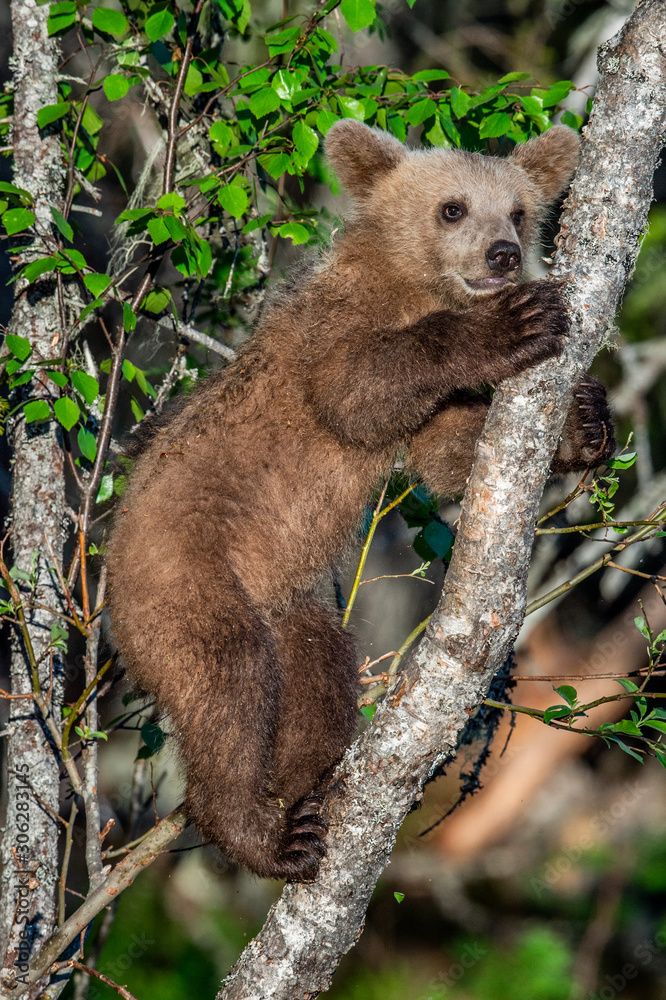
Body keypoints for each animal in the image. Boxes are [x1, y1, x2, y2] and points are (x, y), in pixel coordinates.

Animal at [106, 120, 614, 882]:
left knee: (319, 673)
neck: (415, 284)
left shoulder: (425, 413)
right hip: (182, 577)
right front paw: (513, 323)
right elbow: (356, 388)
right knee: (230, 681)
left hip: (287, 600)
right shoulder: (336, 325)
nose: (503, 254)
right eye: (453, 208)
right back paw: (261, 835)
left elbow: (447, 452)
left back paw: (306, 791)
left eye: (520, 210)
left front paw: (585, 423)